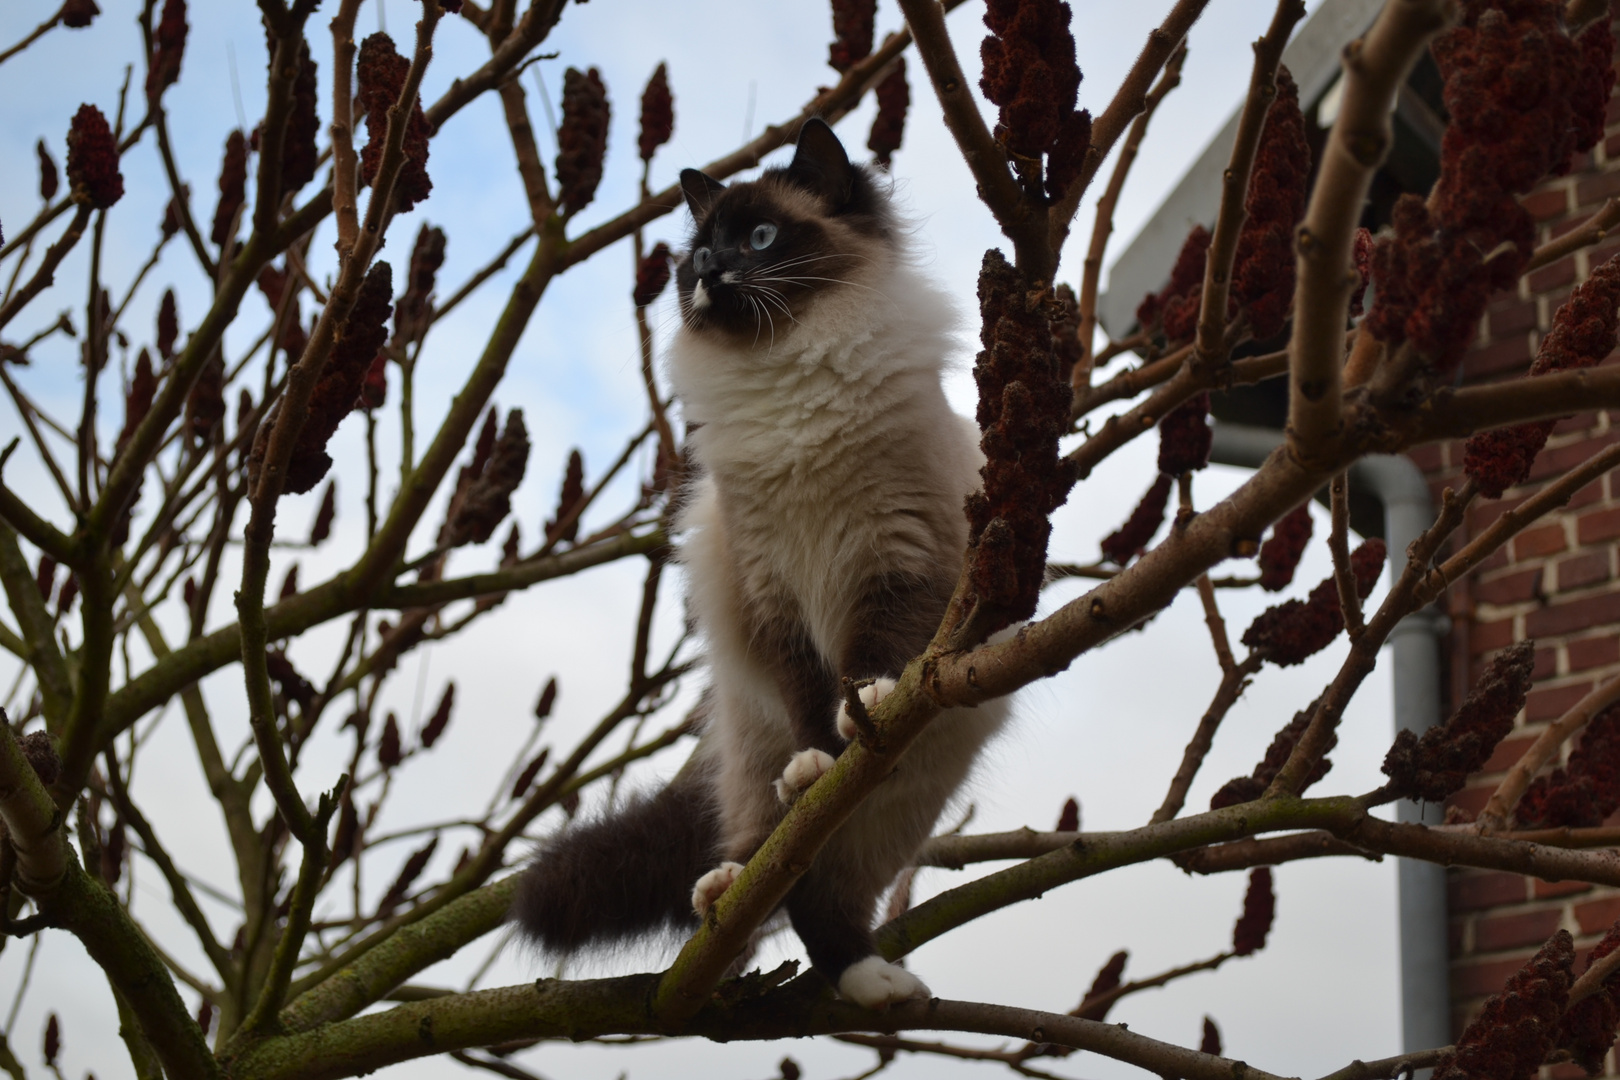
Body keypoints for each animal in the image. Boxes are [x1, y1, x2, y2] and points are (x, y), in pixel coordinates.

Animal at [511, 120, 1004, 1016]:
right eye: (700, 251)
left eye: (762, 239)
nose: (711, 274)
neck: (789, 380)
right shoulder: (773, 595)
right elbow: (812, 699)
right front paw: (820, 760)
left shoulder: (900, 561)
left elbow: (871, 664)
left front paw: (868, 713)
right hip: (752, 754)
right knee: (774, 859)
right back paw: (730, 896)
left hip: (898, 802)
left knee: (821, 891)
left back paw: (868, 977)